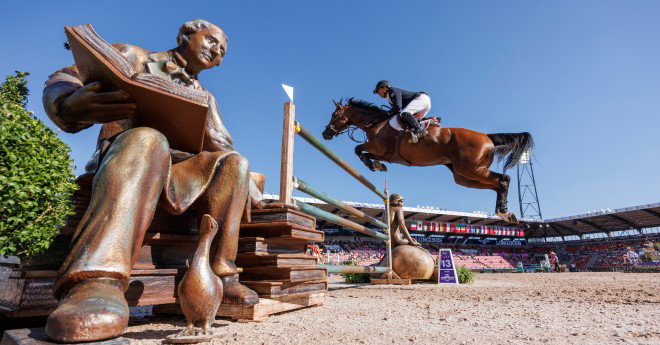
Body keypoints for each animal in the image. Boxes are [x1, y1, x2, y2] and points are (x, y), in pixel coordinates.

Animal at [322, 98, 532, 224]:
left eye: (334, 115)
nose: (325, 134)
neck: (376, 123)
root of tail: (487, 137)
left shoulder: (379, 148)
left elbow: (358, 149)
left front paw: (373, 165)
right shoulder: (382, 153)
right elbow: (363, 152)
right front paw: (376, 165)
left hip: (472, 169)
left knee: (503, 180)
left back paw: (504, 211)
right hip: (463, 176)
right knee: (496, 184)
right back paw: (506, 213)